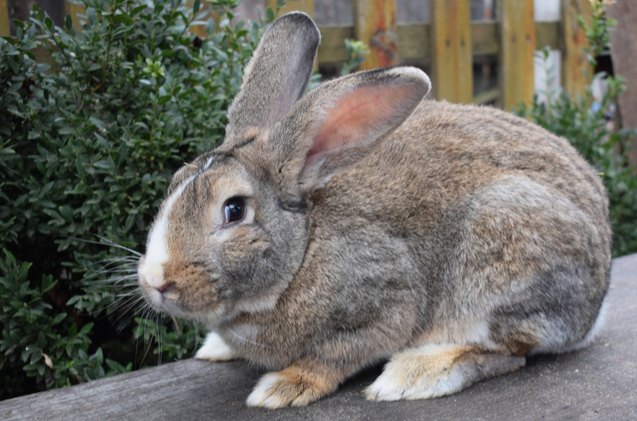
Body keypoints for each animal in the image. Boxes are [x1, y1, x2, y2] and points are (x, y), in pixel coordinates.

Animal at [138, 13, 612, 406]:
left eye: (234, 210)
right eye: (174, 182)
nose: (155, 280)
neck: (304, 249)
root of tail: (595, 305)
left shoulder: (386, 302)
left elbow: (335, 355)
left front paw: (282, 387)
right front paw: (218, 349)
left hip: (497, 258)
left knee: (507, 351)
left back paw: (414, 376)